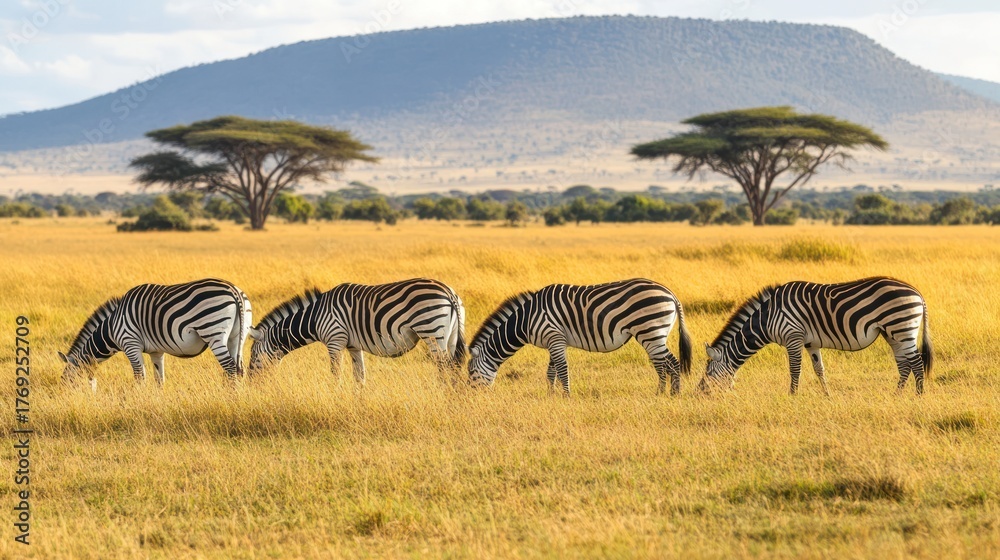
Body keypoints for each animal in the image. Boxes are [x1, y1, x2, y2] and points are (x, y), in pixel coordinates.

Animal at [59, 278, 252, 390]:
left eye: (68, 379)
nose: (64, 397)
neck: (112, 327)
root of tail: (234, 290)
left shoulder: (130, 343)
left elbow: (139, 376)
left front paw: (139, 401)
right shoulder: (156, 351)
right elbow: (159, 379)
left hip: (213, 331)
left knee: (229, 367)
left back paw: (230, 396)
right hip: (237, 336)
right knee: (238, 368)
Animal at [248, 278, 466, 383]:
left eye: (253, 354)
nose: (250, 382)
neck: (315, 317)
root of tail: (449, 292)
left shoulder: (335, 340)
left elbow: (335, 373)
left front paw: (335, 397)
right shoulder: (353, 345)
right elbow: (359, 376)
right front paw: (357, 402)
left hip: (432, 331)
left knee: (444, 367)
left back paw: (442, 392)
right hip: (451, 335)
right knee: (453, 366)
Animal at [468, 278, 692, 395]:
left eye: (470, 372)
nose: (470, 396)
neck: (526, 320)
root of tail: (670, 293)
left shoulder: (554, 336)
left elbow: (562, 369)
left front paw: (566, 397)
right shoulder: (554, 340)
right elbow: (551, 372)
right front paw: (551, 396)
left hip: (650, 331)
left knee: (666, 364)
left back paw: (663, 394)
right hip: (656, 334)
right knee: (669, 363)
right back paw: (672, 394)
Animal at [699, 277, 932, 395]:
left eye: (708, 372)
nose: (698, 393)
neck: (767, 317)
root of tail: (917, 292)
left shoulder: (793, 337)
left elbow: (795, 370)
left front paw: (792, 397)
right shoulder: (811, 343)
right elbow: (819, 369)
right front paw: (827, 395)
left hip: (901, 327)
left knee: (916, 363)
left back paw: (918, 396)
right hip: (893, 333)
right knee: (904, 364)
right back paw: (897, 395)